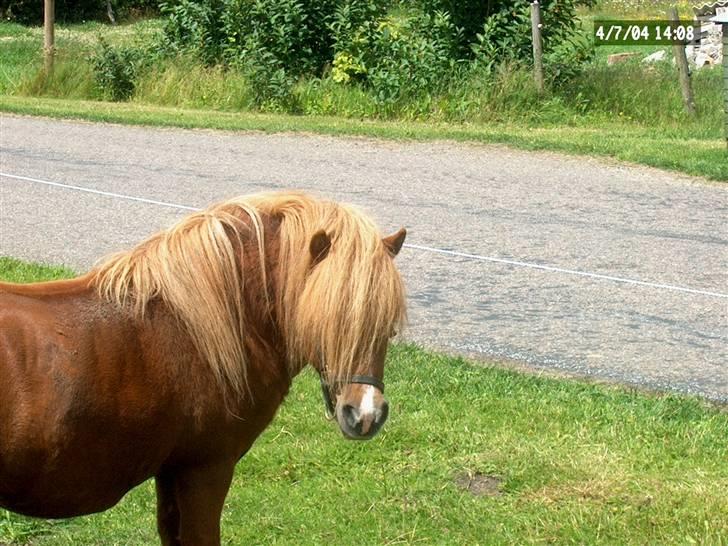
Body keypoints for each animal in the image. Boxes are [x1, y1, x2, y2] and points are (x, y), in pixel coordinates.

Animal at [0, 191, 407, 546]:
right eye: (326, 319)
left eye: (388, 326)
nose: (366, 415)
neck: (195, 327)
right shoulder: (205, 471)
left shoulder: (171, 474)